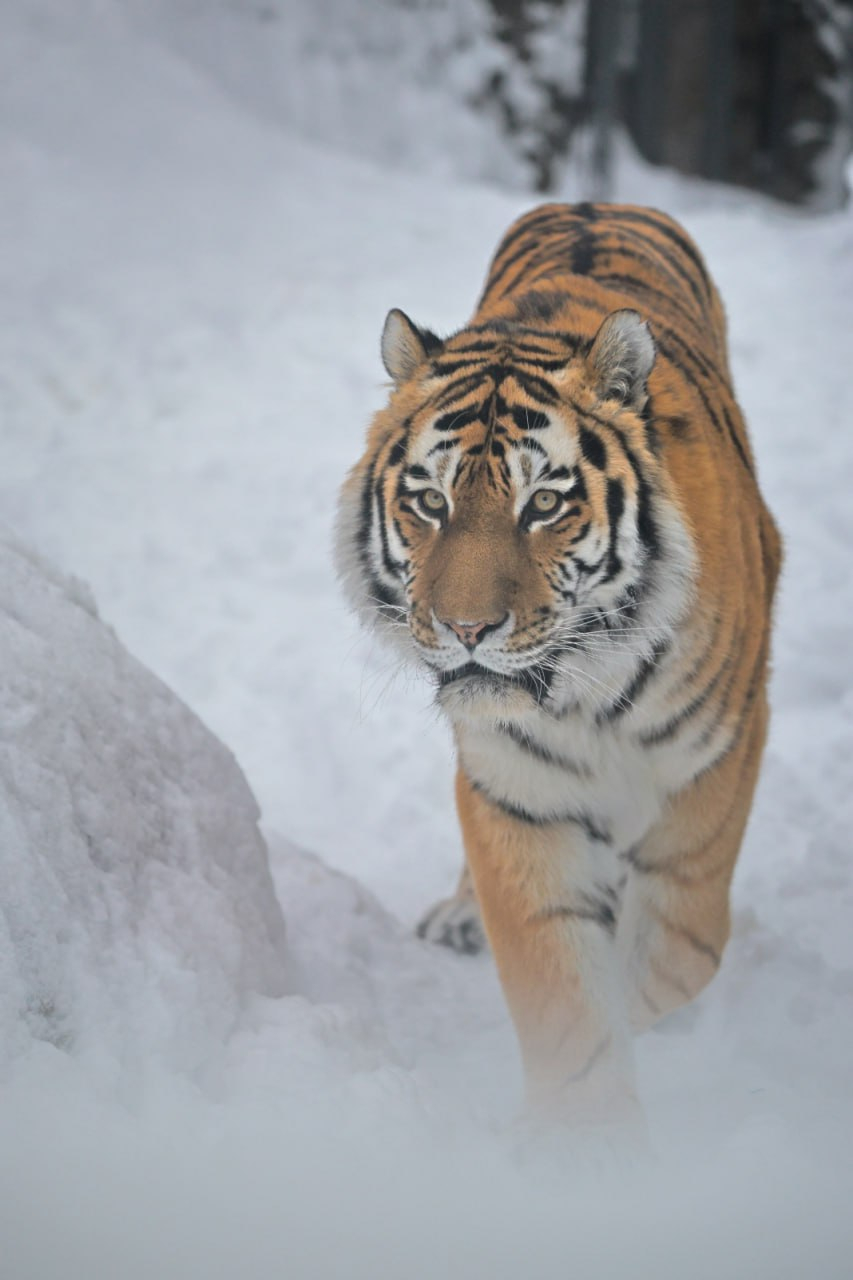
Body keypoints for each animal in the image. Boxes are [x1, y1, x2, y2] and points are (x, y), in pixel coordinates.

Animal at [336, 202, 781, 1128]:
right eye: (428, 500)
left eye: (542, 503)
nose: (465, 627)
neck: (590, 691)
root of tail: (592, 202)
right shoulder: (514, 789)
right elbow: (559, 989)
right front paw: (589, 1136)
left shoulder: (718, 758)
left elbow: (680, 949)